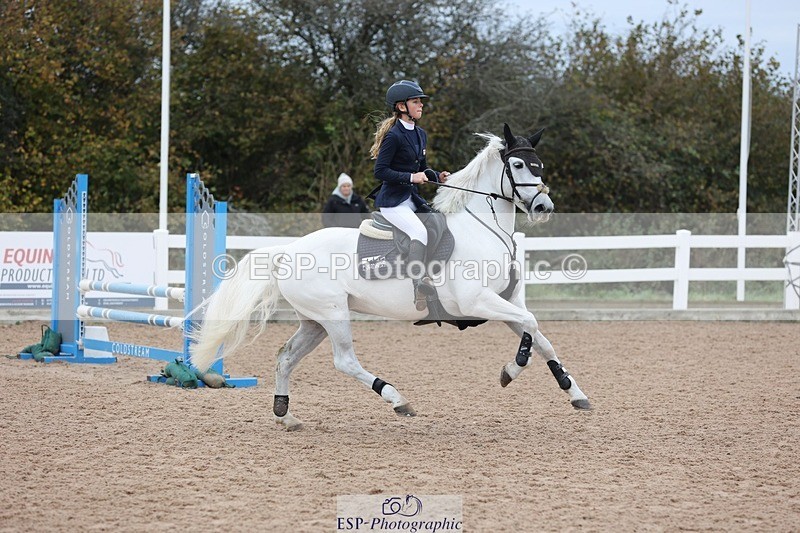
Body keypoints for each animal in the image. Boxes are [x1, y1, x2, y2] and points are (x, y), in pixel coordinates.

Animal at [190, 123, 591, 430]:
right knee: (344, 361)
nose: (544, 207)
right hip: (334, 314)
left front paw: (575, 392)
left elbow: (541, 338)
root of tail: (288, 250)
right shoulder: (478, 302)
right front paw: (511, 370)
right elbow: (531, 330)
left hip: (315, 320)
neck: (486, 228)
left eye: (540, 165)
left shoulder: (505, 304)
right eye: (519, 164)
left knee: (286, 357)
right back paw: (397, 399)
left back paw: (285, 415)